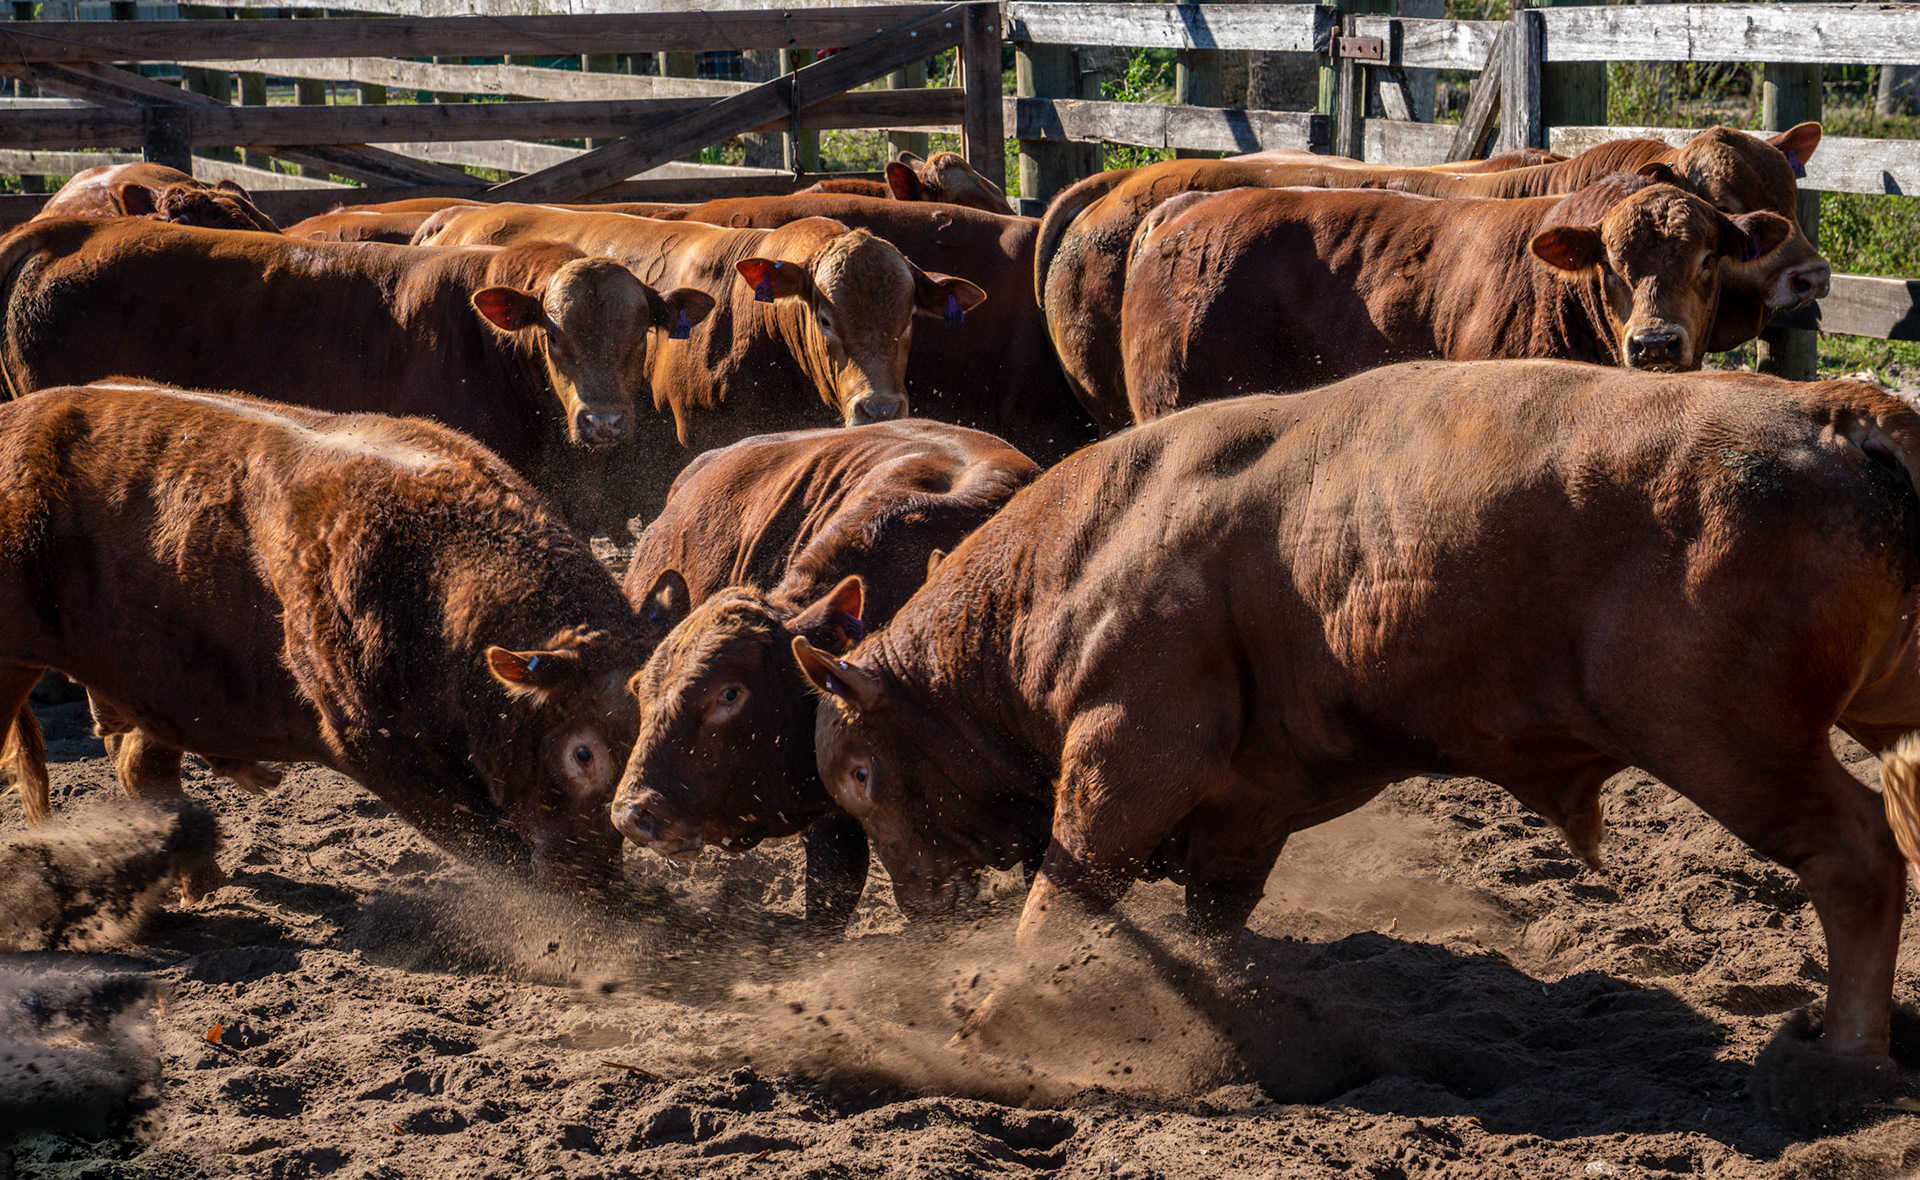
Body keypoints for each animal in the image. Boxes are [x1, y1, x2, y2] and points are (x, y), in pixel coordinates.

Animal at [0, 380, 650, 897]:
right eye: (583, 753)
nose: (593, 880)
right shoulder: (370, 741)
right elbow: (488, 843)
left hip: (154, 681)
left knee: (142, 763)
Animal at [795, 359, 1920, 1119]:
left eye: (862, 775)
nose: (920, 910)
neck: (1087, 553)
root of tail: (1830, 412)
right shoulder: (1247, 808)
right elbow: (1212, 924)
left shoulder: (1129, 755)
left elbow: (1064, 893)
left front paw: (993, 1022)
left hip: (1727, 742)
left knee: (1859, 856)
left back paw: (1843, 1062)